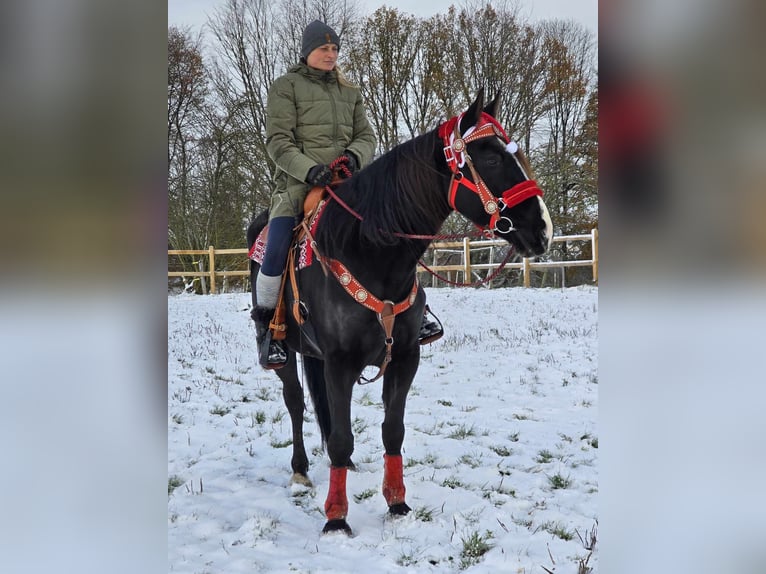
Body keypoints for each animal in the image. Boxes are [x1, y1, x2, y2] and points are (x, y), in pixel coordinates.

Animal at [246, 89, 552, 536]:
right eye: (492, 158)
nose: (543, 228)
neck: (370, 251)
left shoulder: (405, 358)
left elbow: (392, 431)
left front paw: (396, 503)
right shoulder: (340, 363)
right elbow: (341, 436)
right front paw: (336, 518)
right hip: (285, 354)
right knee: (296, 402)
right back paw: (300, 470)